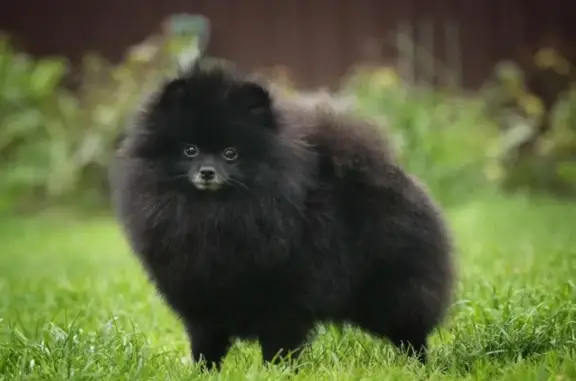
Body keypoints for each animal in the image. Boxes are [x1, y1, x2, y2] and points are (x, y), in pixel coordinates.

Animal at [109, 59, 454, 368]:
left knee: (411, 333)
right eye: (189, 150)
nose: (207, 172)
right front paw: (204, 371)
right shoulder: (201, 302)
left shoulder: (285, 300)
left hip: (396, 291)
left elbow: (279, 343)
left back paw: (419, 365)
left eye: (230, 154)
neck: (213, 216)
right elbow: (206, 344)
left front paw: (277, 370)